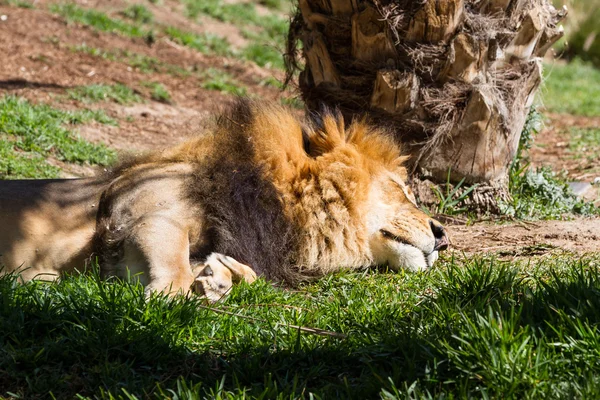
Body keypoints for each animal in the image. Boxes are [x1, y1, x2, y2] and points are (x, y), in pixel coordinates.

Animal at [0, 100, 450, 300]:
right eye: (401, 188)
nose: (443, 236)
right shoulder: (144, 213)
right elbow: (174, 270)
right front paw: (172, 298)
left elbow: (242, 272)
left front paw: (218, 276)